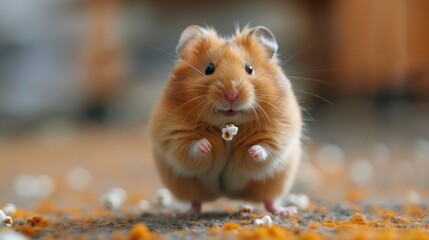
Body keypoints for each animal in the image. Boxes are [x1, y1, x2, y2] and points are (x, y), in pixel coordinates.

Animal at [149, 24, 302, 216]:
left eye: (249, 68)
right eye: (209, 68)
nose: (231, 95)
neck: (228, 124)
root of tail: (226, 195)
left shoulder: (278, 134)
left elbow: (265, 149)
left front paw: (252, 151)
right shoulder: (174, 136)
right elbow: (190, 148)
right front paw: (206, 145)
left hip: (274, 183)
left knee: (269, 201)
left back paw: (286, 211)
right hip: (189, 187)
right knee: (196, 202)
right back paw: (184, 213)